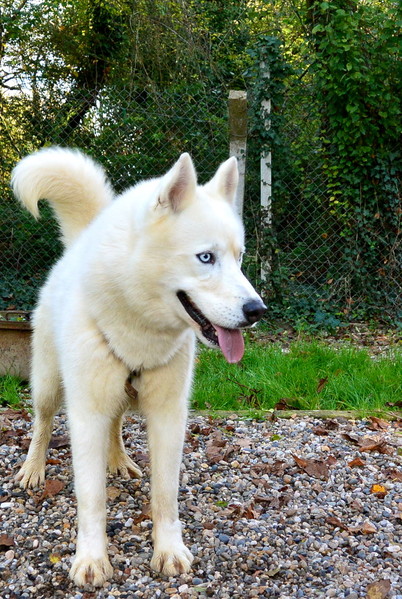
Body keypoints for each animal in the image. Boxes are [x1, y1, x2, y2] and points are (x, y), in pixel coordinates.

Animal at [11, 148, 266, 588]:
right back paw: (33, 468)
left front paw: (169, 551)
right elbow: (91, 498)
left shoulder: (168, 417)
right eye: (206, 257)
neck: (136, 324)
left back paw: (118, 460)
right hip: (49, 384)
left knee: (116, 423)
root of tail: (78, 244)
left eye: (239, 258)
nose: (257, 310)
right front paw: (92, 559)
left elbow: (165, 494)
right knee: (42, 423)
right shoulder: (86, 415)